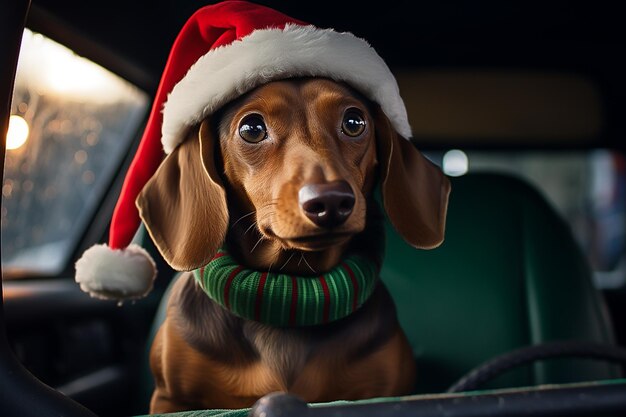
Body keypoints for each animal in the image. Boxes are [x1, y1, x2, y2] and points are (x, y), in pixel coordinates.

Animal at [138, 79, 448, 412]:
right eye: (251, 128)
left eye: (354, 122)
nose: (330, 201)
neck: (289, 292)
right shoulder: (169, 398)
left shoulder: (387, 391)